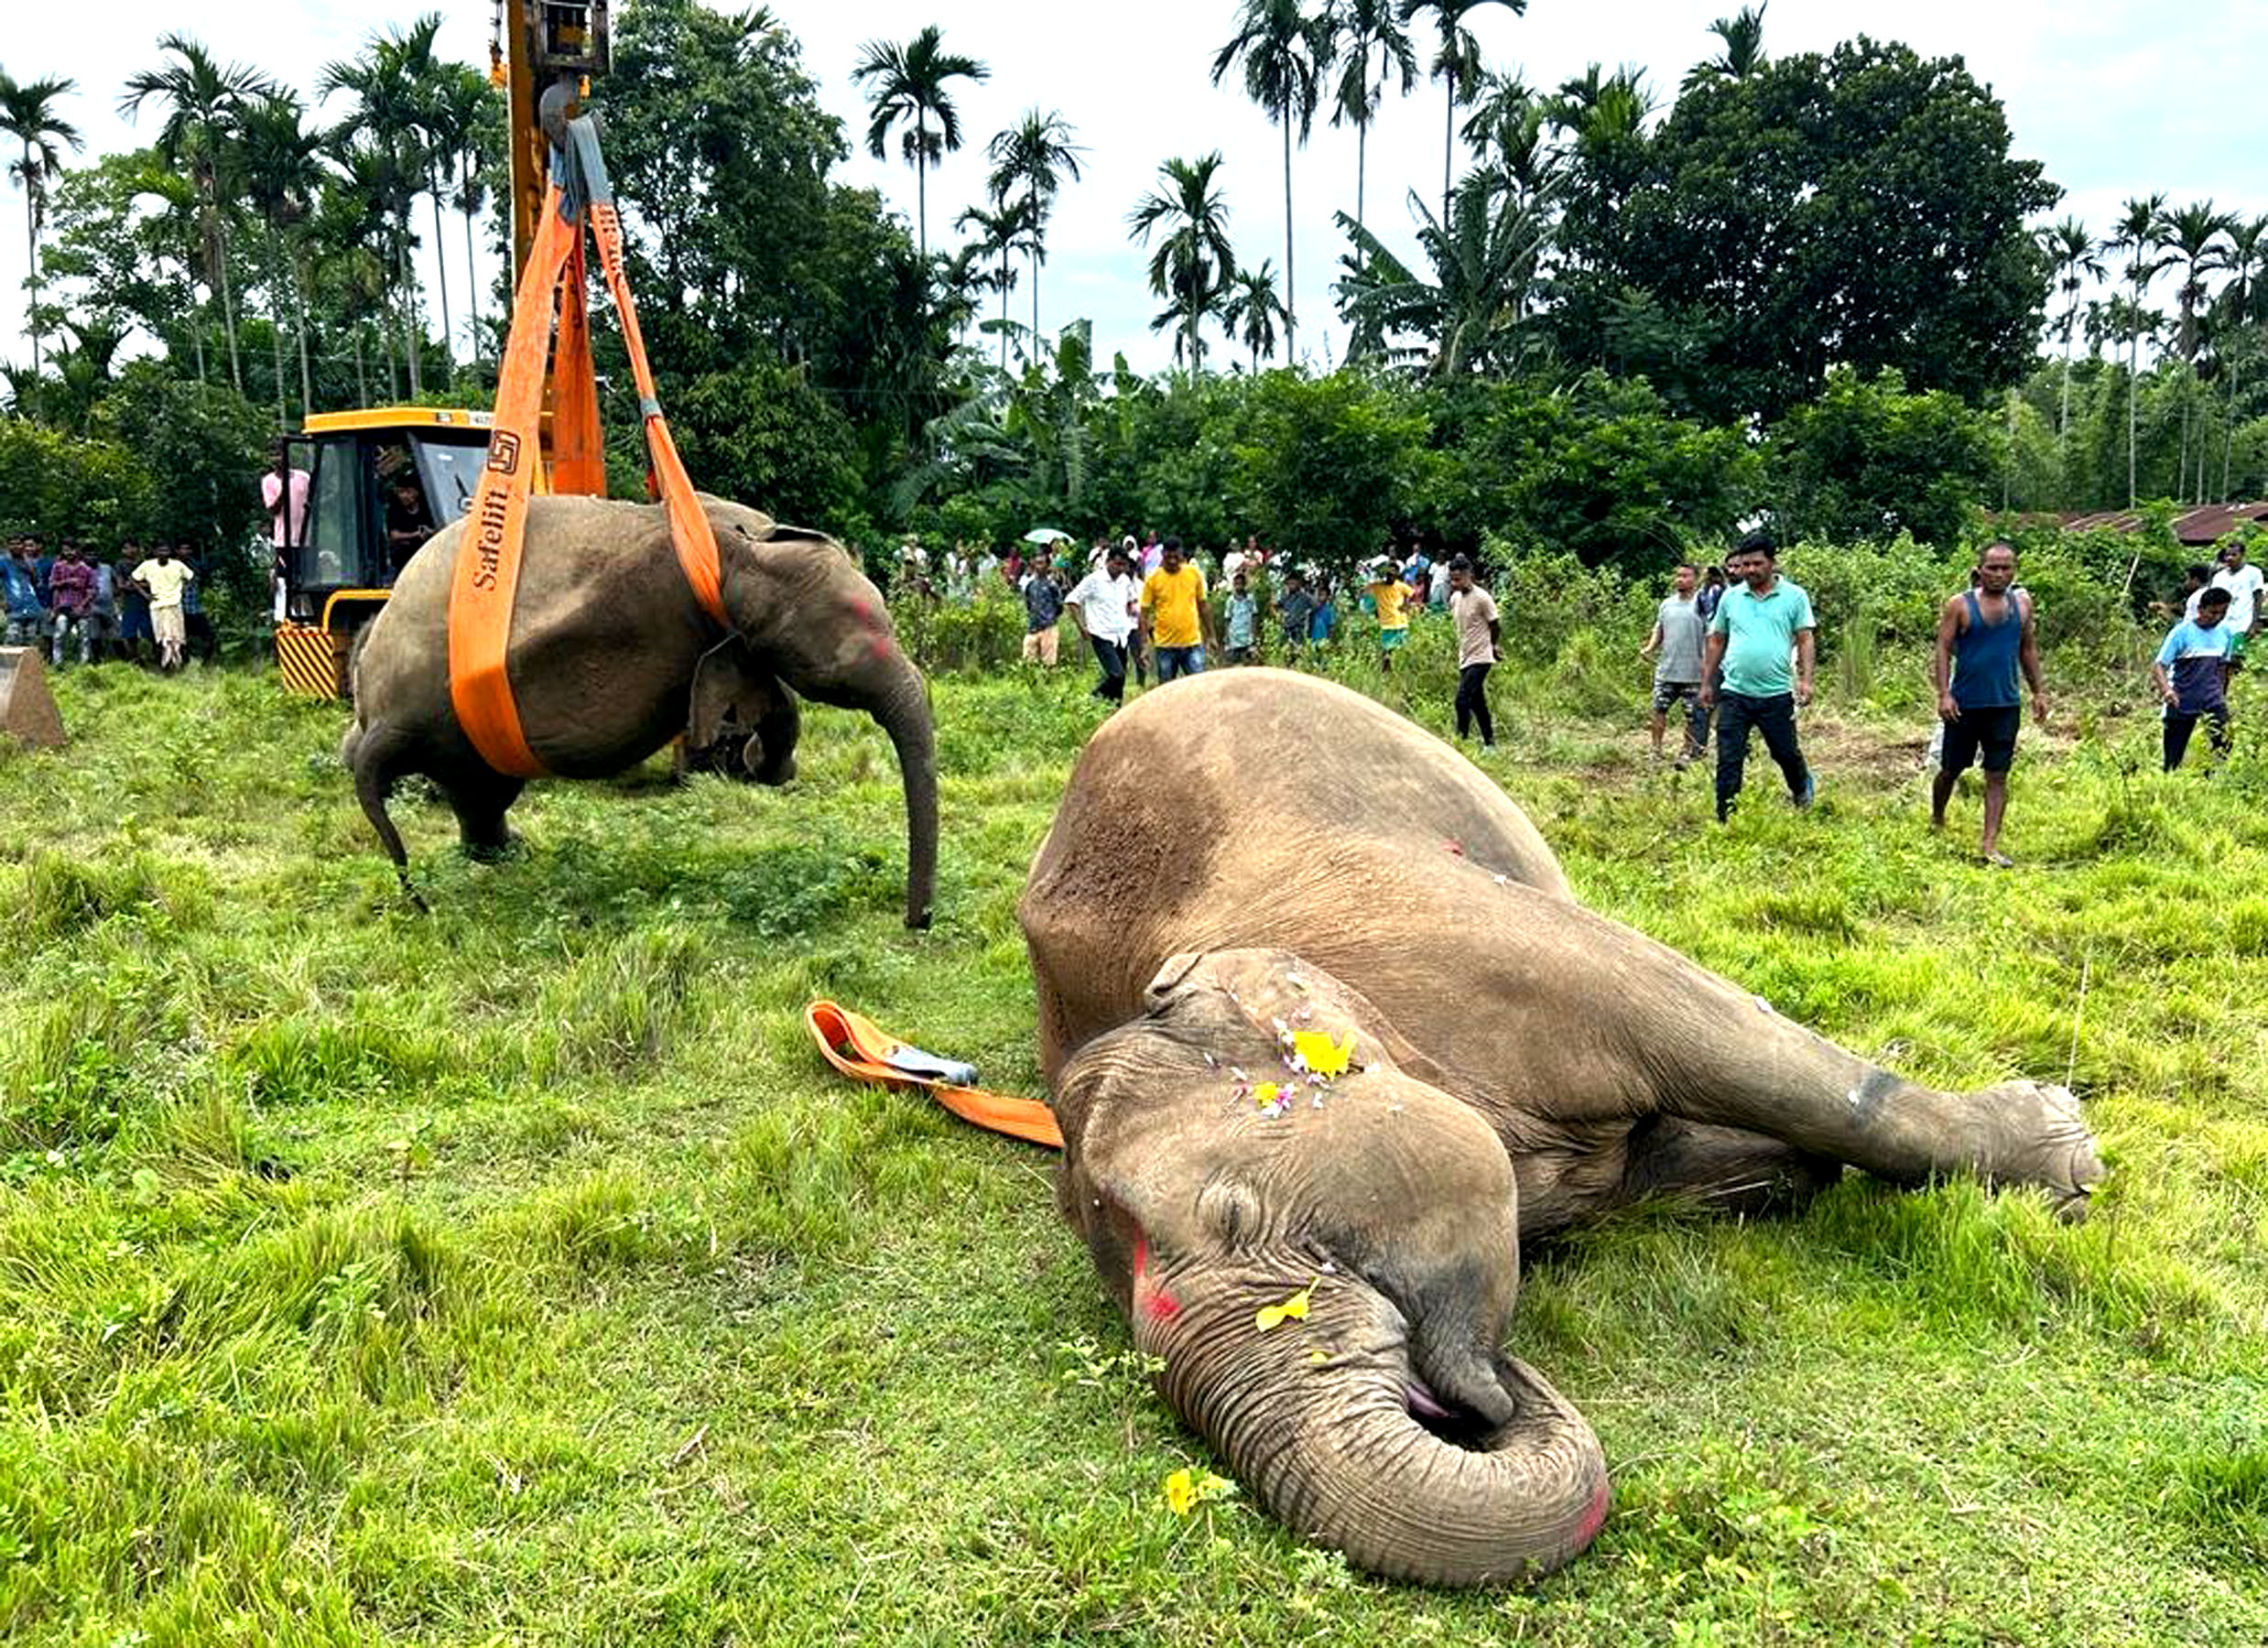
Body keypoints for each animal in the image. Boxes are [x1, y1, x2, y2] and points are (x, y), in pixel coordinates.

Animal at [345, 494, 936, 927]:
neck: (747, 553)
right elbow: (777, 706)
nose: (917, 921)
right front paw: (752, 758)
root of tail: (385, 723)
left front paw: (755, 762)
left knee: (468, 791)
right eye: (843, 678)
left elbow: (774, 702)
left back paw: (505, 855)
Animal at [1017, 669, 2100, 1587]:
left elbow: (1721, 1038)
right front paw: (1787, 1174)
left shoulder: (1470, 935)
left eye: (1236, 1218)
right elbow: (1657, 1165)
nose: (1483, 1393)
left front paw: (2062, 1156)